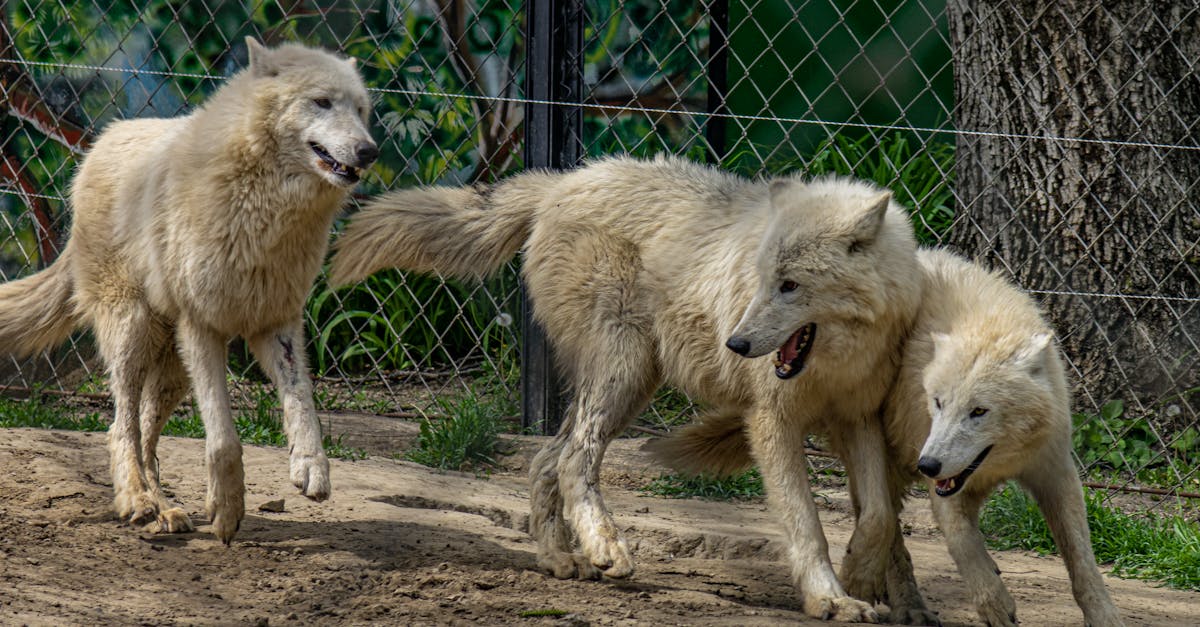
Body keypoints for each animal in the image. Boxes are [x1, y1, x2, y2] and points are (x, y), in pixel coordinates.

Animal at [0, 37, 376, 540]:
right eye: (321, 102)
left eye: (361, 109)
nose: (368, 150)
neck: (267, 212)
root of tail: (99, 144)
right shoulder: (202, 326)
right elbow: (223, 439)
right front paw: (227, 509)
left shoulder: (277, 323)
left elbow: (302, 403)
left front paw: (310, 467)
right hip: (134, 333)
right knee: (120, 428)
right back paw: (137, 501)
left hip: (172, 366)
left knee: (145, 434)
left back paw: (164, 509)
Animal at [333, 156, 921, 619]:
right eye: (761, 283)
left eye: (791, 286)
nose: (735, 343)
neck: (836, 360)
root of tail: (562, 180)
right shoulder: (771, 422)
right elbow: (806, 523)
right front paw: (831, 598)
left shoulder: (858, 419)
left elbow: (879, 516)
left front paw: (862, 580)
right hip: (625, 373)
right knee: (575, 459)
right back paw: (606, 549)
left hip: (626, 384)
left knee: (545, 460)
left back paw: (561, 559)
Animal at [652, 246, 1118, 619]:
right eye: (938, 403)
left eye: (979, 411)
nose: (928, 464)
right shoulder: (939, 477)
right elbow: (965, 547)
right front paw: (995, 604)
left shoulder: (1055, 473)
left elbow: (1084, 565)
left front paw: (1103, 617)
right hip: (882, 455)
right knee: (886, 529)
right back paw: (905, 605)